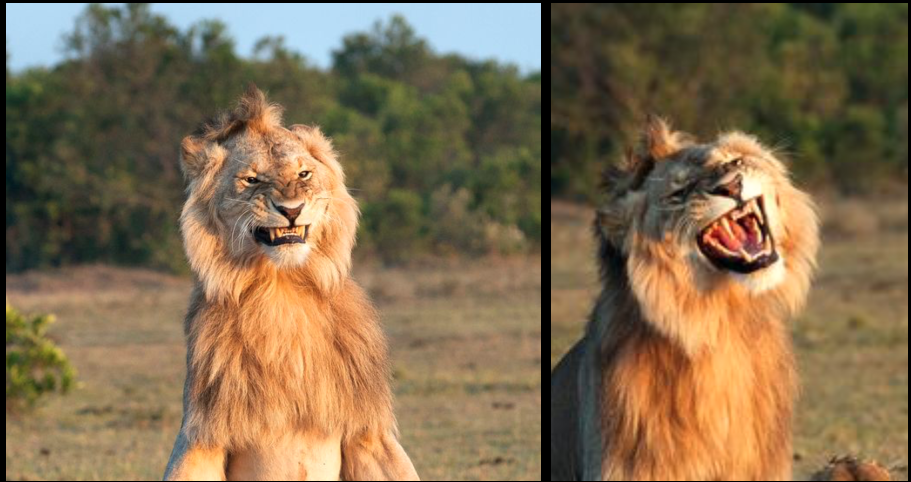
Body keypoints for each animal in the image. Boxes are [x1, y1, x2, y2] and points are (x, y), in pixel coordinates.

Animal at [164, 86, 420, 482]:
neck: (280, 290)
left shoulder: (368, 431)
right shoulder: (202, 434)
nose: (291, 209)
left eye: (304, 173)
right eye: (251, 180)